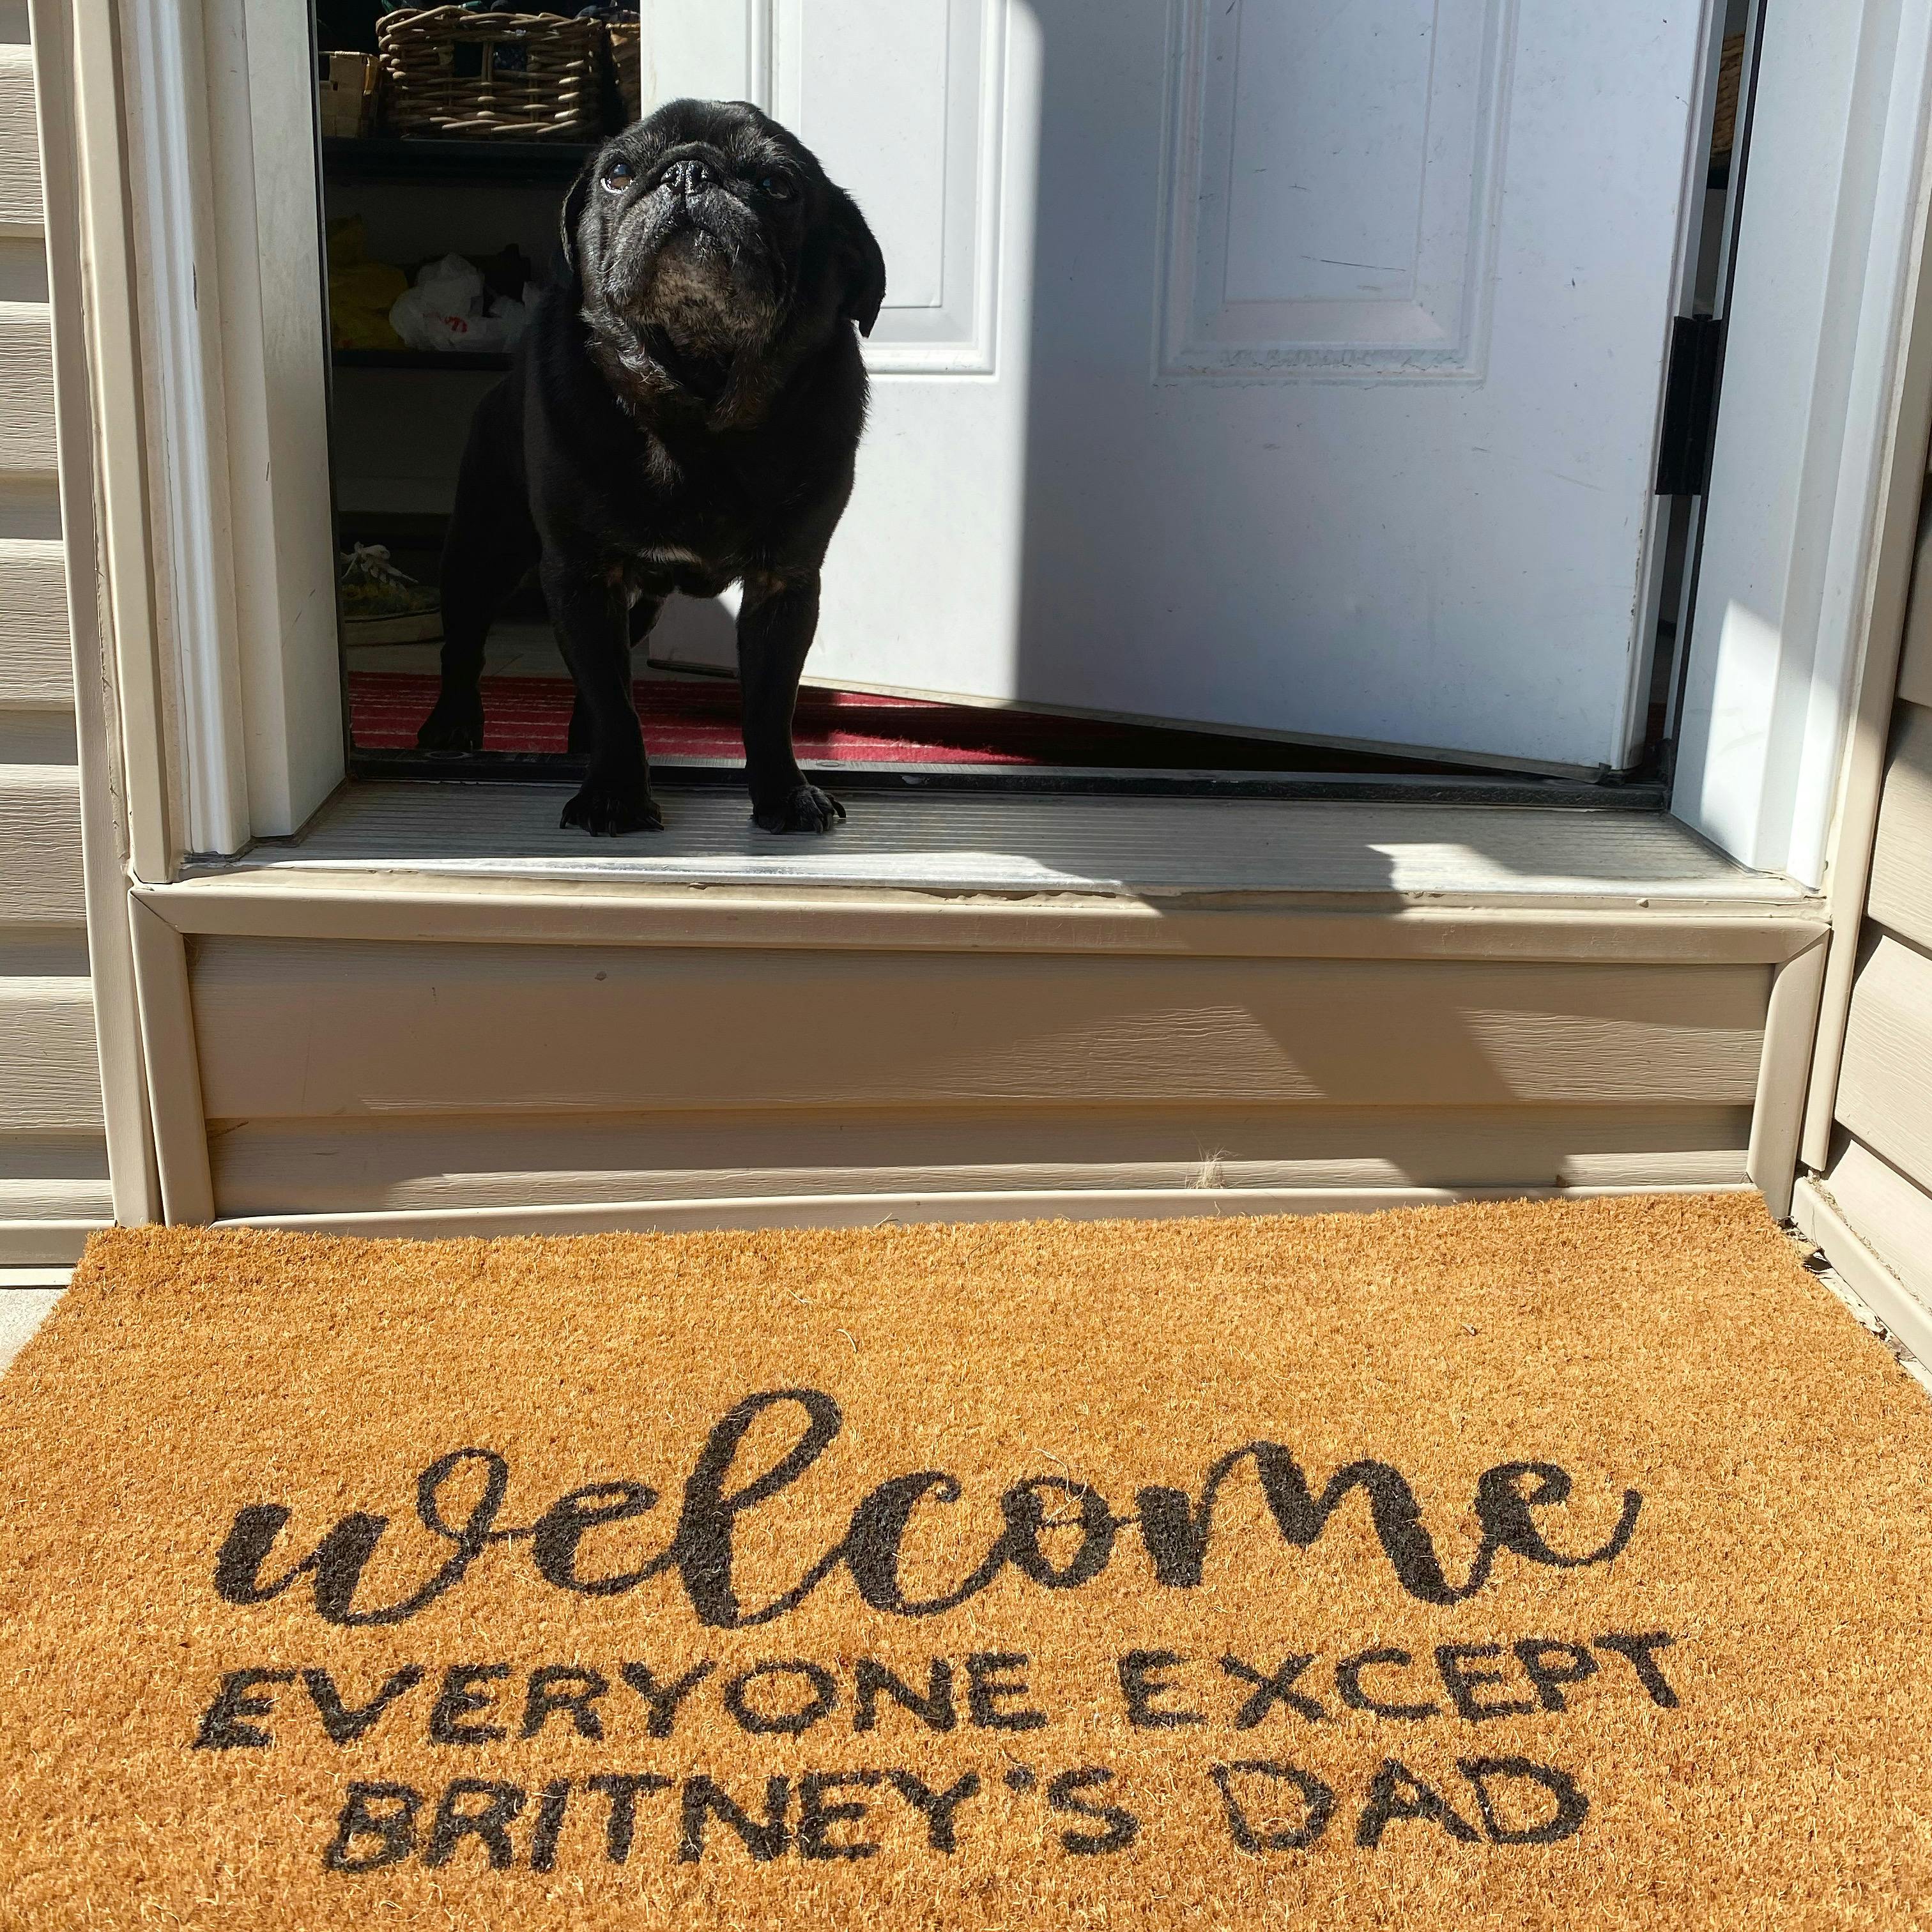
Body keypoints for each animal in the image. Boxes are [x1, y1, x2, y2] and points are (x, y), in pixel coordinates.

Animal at [416, 99, 886, 835]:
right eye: (615, 174)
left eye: (778, 185)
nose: (688, 172)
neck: (698, 412)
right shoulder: (581, 578)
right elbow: (613, 699)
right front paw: (615, 794)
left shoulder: (784, 586)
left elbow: (768, 703)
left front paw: (784, 794)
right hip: (484, 549)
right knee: (466, 640)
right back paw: (454, 724)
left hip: (635, 604)